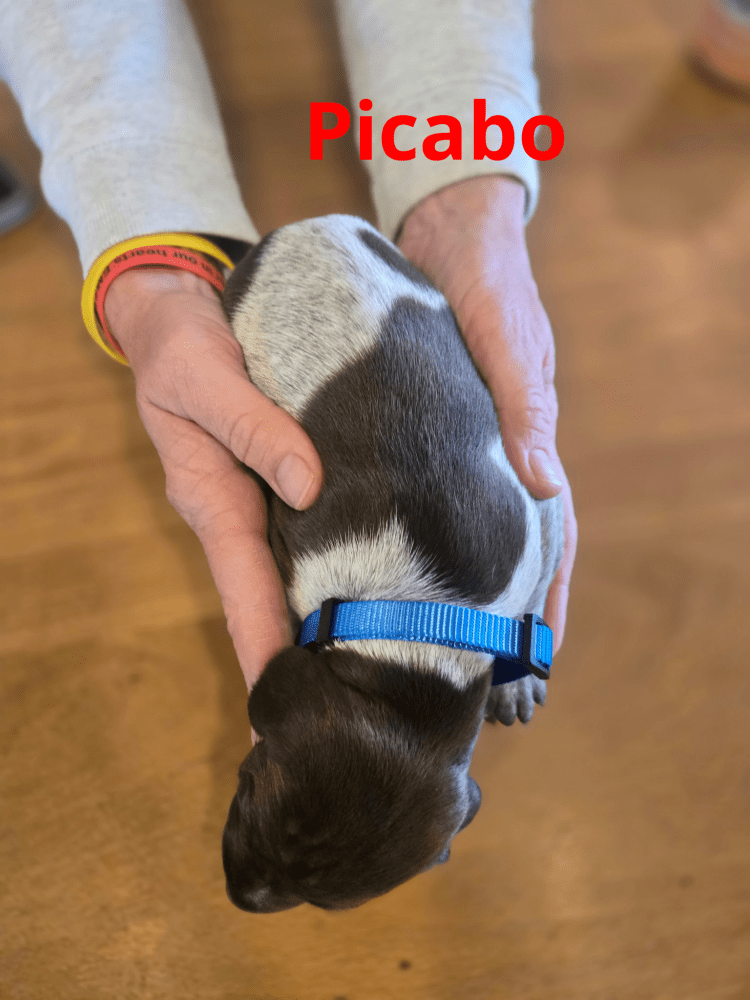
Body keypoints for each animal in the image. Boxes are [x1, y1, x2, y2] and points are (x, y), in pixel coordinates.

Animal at [219, 214, 564, 913]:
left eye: (322, 904)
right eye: (246, 786)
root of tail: (304, 226)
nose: (240, 898)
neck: (422, 619)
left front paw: (514, 680)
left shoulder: (536, 521)